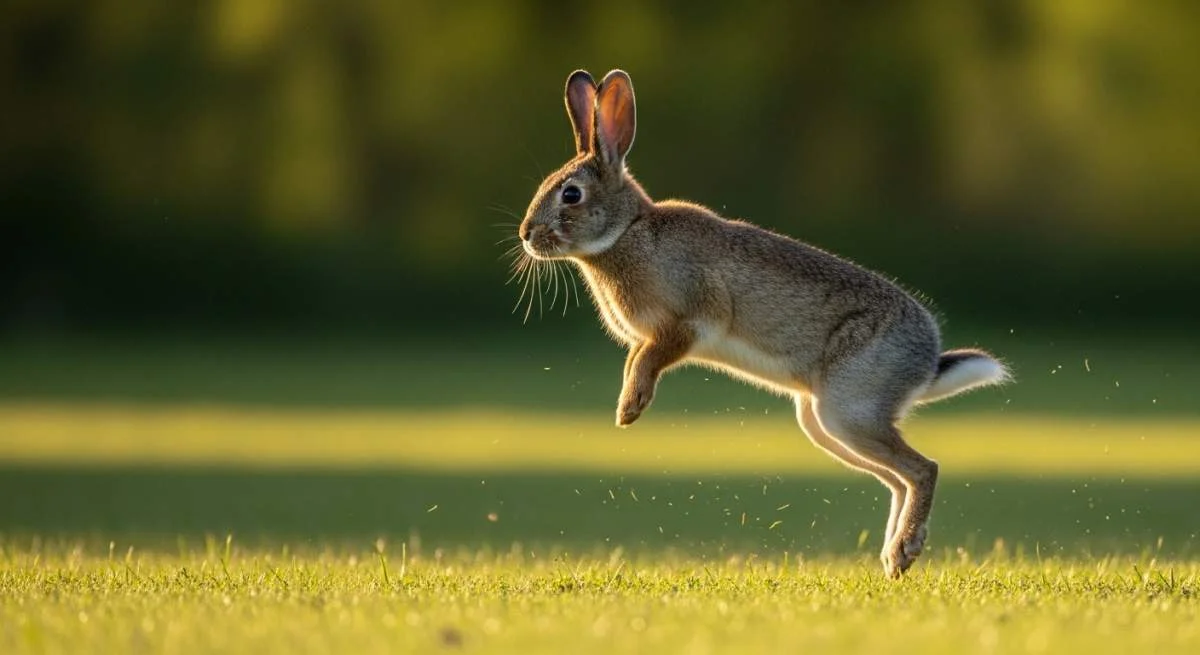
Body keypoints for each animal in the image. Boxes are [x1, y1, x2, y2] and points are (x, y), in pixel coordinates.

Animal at [516, 69, 1011, 578]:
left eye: (571, 194)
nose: (526, 235)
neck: (627, 232)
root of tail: (926, 361)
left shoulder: (691, 320)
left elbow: (653, 359)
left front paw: (629, 410)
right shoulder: (649, 340)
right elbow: (637, 360)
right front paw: (626, 405)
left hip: (848, 409)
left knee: (924, 469)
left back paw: (904, 550)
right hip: (823, 423)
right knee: (898, 479)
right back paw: (894, 557)